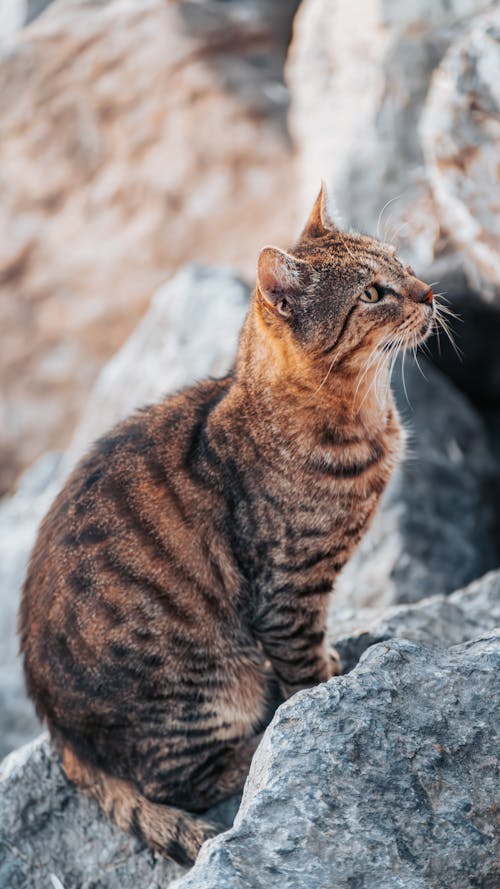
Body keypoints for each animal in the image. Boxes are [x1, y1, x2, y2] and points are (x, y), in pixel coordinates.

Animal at [18, 184, 434, 864]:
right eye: (373, 294)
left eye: (401, 262)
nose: (428, 292)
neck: (363, 416)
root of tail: (56, 728)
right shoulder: (286, 592)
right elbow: (303, 671)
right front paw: (322, 693)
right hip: (206, 683)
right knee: (180, 780)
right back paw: (256, 746)